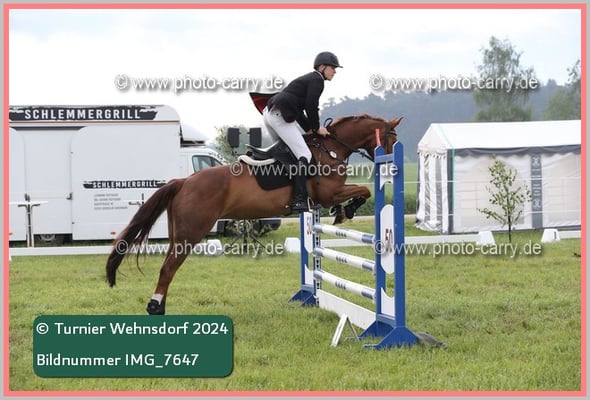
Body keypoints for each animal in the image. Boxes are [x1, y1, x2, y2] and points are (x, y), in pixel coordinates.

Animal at [105, 114, 402, 315]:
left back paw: (160, 307)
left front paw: (341, 213)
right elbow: (364, 189)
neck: (331, 148)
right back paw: (155, 308)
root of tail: (184, 181)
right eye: (393, 138)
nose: (390, 168)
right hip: (191, 233)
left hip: (178, 233)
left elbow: (358, 193)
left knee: (168, 266)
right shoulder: (328, 193)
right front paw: (347, 210)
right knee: (169, 268)